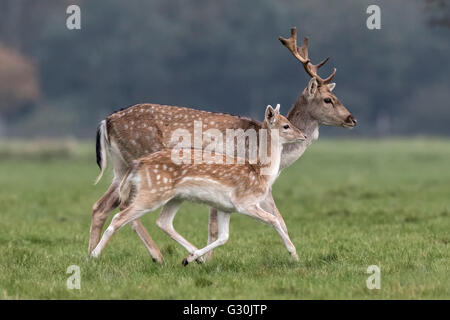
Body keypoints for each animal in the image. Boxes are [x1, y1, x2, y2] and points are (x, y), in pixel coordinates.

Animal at [89, 104, 306, 262]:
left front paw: (193, 258)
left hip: (170, 196)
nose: (304, 135)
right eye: (285, 125)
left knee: (160, 221)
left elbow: (224, 236)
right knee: (120, 216)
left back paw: (191, 256)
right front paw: (294, 254)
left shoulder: (225, 207)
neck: (260, 173)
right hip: (151, 193)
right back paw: (95, 255)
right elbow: (275, 219)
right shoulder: (244, 202)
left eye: (289, 121)